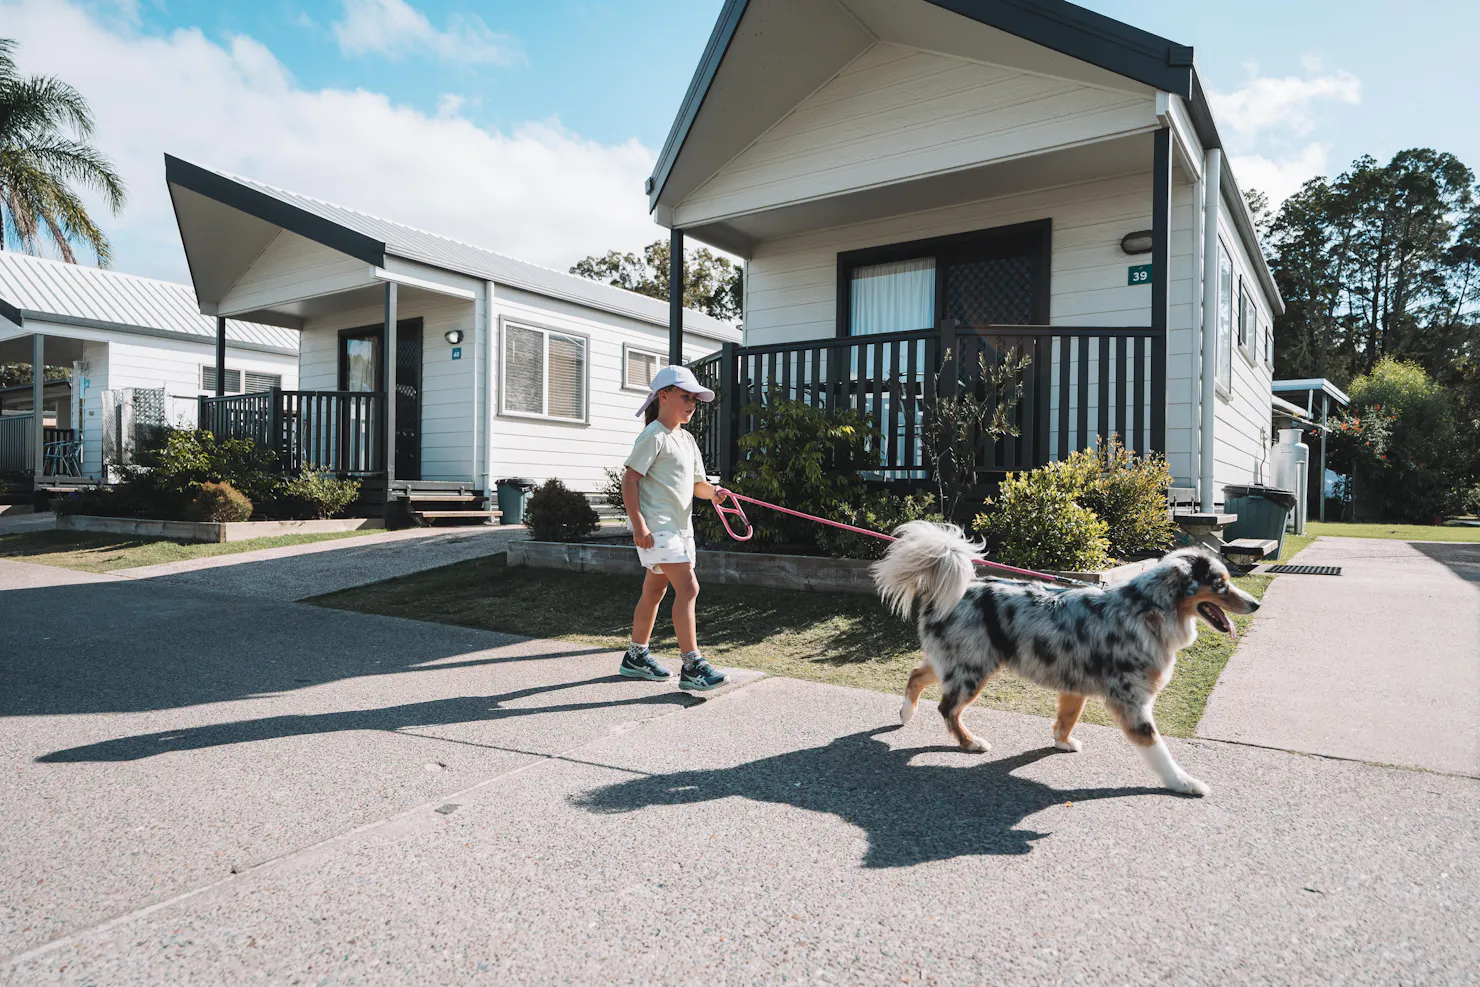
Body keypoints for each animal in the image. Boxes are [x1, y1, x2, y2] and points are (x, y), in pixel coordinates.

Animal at [870, 523, 1255, 793]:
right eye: (1220, 584)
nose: (1255, 604)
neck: (1147, 609)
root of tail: (956, 589)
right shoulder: (1132, 702)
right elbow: (1160, 751)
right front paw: (1184, 783)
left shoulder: (1075, 684)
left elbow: (1067, 718)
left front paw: (1062, 742)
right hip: (972, 670)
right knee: (947, 708)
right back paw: (970, 742)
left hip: (956, 662)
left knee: (917, 674)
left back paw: (907, 712)